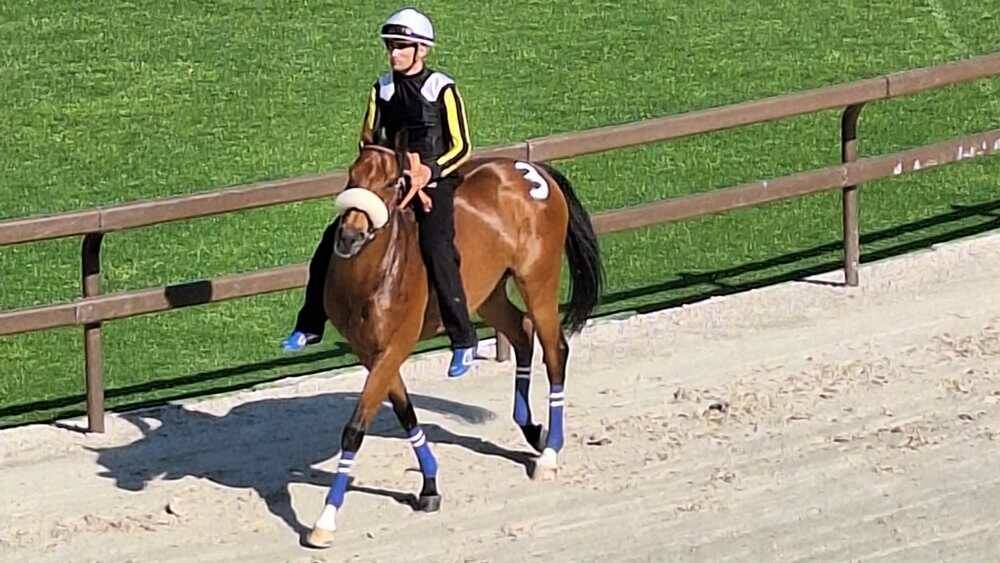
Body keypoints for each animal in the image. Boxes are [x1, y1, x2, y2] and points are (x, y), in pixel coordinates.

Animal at [304, 132, 600, 548]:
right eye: (352, 174)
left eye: (392, 184)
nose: (348, 236)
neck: (372, 276)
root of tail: (531, 169)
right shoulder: (371, 352)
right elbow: (405, 412)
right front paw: (429, 485)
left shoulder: (393, 347)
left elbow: (355, 429)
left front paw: (325, 520)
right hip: (487, 293)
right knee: (521, 331)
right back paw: (531, 429)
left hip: (538, 280)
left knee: (555, 351)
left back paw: (550, 454)